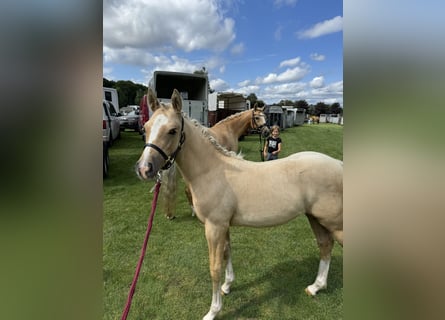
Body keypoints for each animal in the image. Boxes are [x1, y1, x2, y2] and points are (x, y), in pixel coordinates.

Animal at [135, 88, 344, 320]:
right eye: (146, 127)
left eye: (172, 131)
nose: (144, 169)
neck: (213, 171)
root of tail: (339, 164)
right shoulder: (223, 226)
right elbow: (227, 253)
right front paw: (227, 286)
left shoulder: (214, 227)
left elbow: (215, 267)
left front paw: (213, 310)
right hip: (316, 218)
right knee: (325, 246)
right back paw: (316, 287)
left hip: (335, 224)